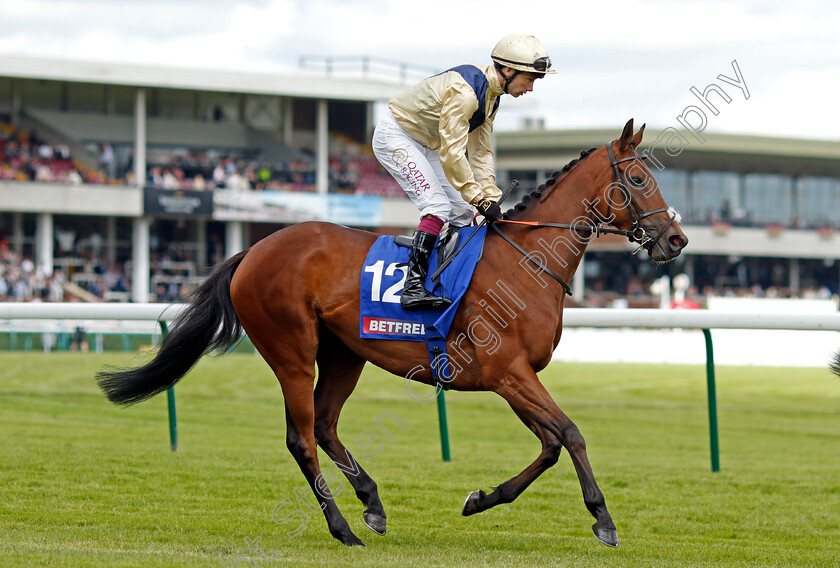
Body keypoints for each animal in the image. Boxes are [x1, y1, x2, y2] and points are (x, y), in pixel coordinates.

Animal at [98, 118, 688, 544]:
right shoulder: (509, 372)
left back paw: (372, 503)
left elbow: (549, 445)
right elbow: (570, 433)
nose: (677, 239)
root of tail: (254, 250)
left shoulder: (511, 377)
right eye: (639, 179)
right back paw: (342, 528)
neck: (526, 261)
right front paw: (603, 519)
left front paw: (481, 498)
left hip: (344, 354)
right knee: (301, 437)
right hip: (292, 349)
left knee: (325, 426)